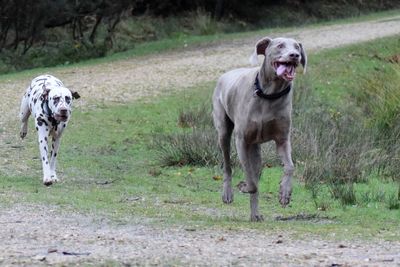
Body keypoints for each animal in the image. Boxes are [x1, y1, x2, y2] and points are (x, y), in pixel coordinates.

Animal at [212, 36, 306, 223]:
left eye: (297, 47)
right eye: (280, 45)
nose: (295, 55)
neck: (268, 95)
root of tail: (225, 74)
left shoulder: (282, 139)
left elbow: (290, 166)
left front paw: (285, 193)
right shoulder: (241, 140)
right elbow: (251, 179)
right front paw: (244, 186)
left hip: (255, 148)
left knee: (256, 168)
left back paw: (255, 214)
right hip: (223, 132)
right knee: (227, 165)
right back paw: (228, 194)